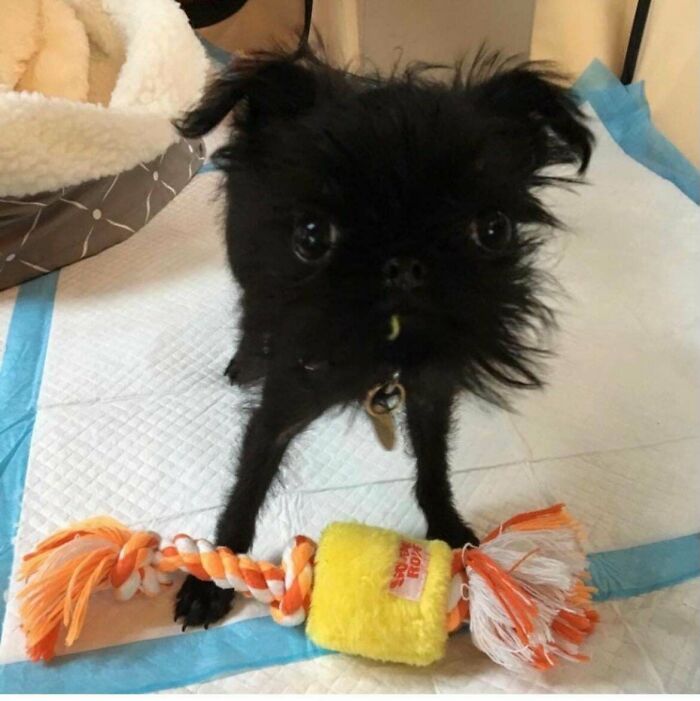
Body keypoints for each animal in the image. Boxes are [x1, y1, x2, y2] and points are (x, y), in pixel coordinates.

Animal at [174, 50, 592, 628]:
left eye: (493, 230)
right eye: (311, 236)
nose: (405, 264)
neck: (381, 359)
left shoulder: (431, 393)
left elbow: (434, 464)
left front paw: (450, 529)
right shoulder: (282, 405)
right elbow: (247, 484)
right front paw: (215, 575)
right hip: (245, 262)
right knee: (251, 311)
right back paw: (246, 357)